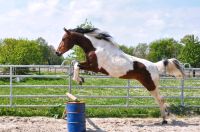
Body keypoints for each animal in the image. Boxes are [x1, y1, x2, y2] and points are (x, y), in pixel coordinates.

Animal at [55, 27, 184, 124]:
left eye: (64, 38)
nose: (57, 52)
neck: (96, 48)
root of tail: (155, 66)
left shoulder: (94, 67)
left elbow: (77, 65)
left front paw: (78, 79)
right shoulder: (90, 65)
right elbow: (75, 63)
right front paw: (80, 79)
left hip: (150, 85)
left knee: (160, 99)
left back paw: (164, 120)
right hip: (150, 85)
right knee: (160, 99)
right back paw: (165, 117)